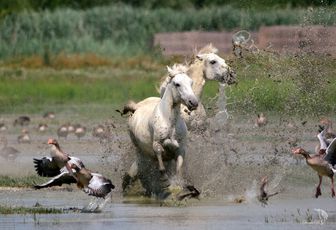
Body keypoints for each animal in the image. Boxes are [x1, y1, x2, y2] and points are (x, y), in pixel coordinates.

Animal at [126, 63, 200, 195]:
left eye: (191, 82)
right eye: (177, 84)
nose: (193, 103)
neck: (170, 122)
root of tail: (136, 107)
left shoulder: (180, 149)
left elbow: (178, 169)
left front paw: (180, 186)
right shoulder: (157, 145)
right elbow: (160, 162)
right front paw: (165, 182)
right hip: (139, 149)